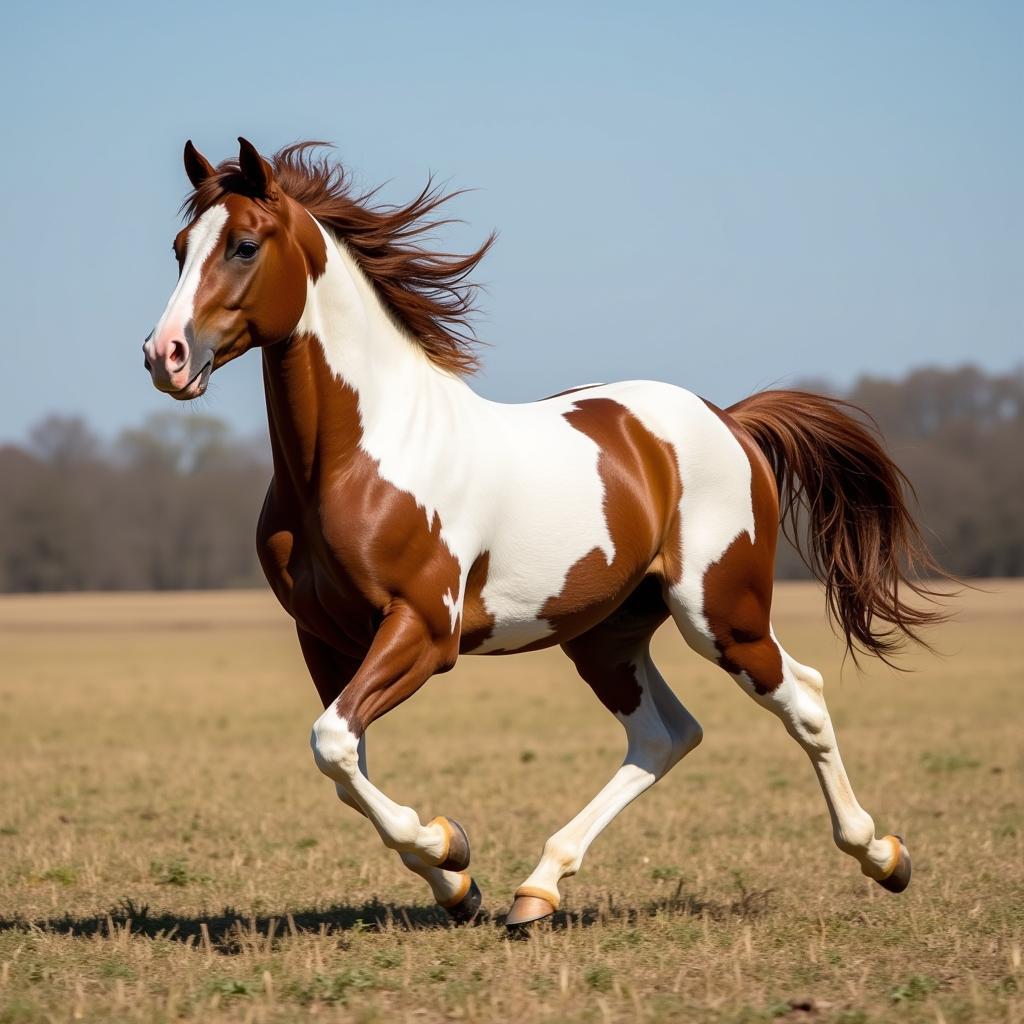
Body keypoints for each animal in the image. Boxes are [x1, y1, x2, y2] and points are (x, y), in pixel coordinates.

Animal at [142, 136, 942, 929]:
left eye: (245, 245)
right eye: (180, 248)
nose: (166, 355)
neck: (355, 462)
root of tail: (730, 420)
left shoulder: (424, 630)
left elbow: (333, 743)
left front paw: (450, 845)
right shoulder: (325, 637)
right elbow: (346, 762)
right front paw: (457, 883)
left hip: (723, 615)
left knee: (801, 699)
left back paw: (883, 857)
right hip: (605, 634)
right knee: (665, 734)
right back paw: (538, 888)